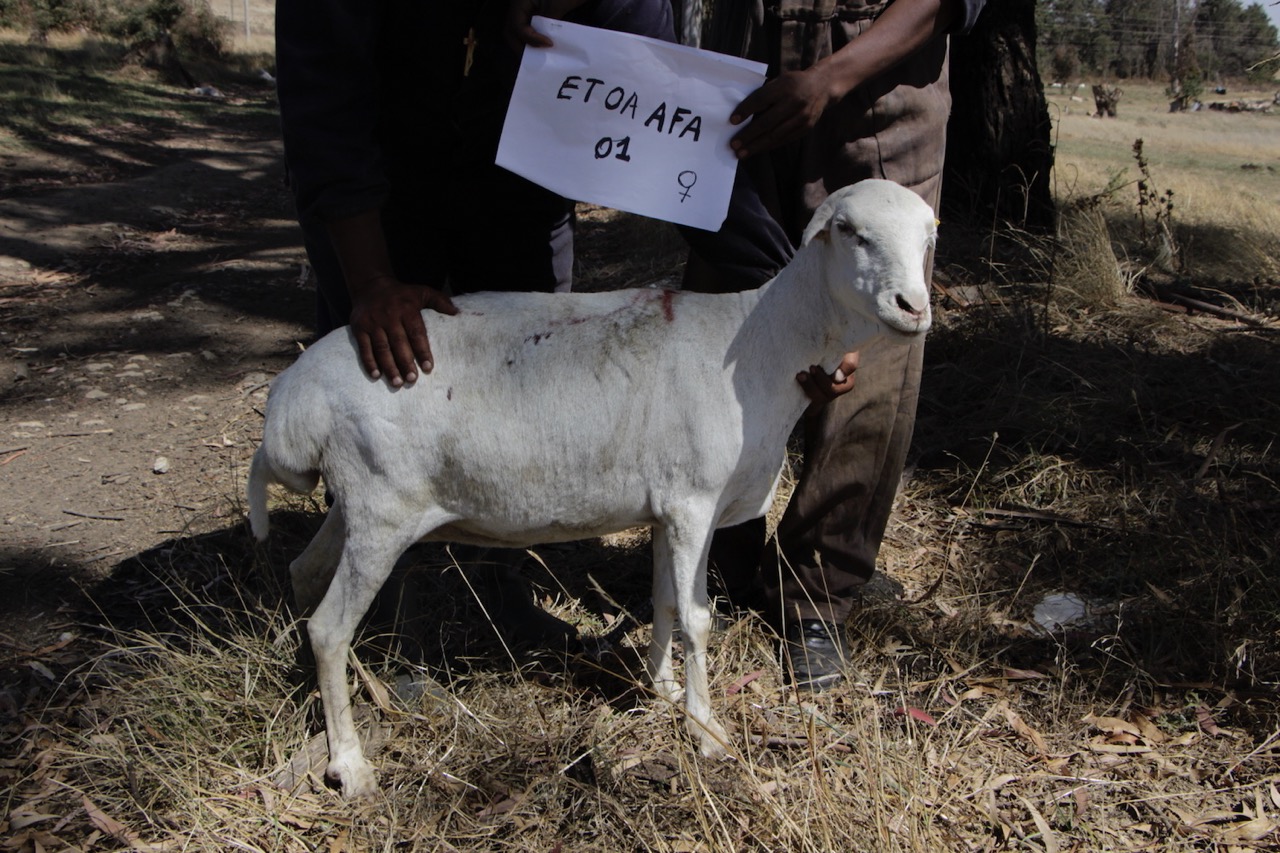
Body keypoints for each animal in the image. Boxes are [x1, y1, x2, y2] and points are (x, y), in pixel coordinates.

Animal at [247, 179, 936, 798]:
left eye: (928, 237)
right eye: (848, 231)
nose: (913, 307)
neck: (765, 341)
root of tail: (293, 399)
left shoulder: (667, 509)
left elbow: (663, 602)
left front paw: (663, 692)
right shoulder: (693, 500)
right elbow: (696, 618)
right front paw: (707, 732)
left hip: (356, 503)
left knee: (306, 574)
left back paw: (333, 690)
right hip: (383, 508)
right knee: (329, 628)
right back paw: (350, 764)